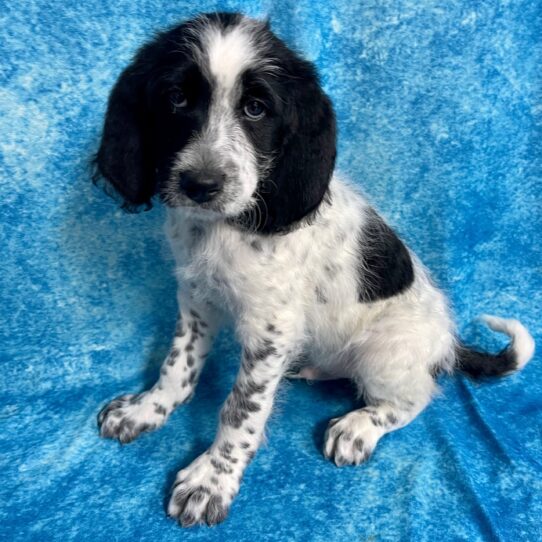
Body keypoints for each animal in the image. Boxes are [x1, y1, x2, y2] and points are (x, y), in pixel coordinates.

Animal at [93, 12, 536, 528]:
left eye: (257, 108)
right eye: (177, 99)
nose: (200, 185)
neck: (225, 226)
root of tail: (447, 344)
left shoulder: (270, 329)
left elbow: (241, 408)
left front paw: (211, 480)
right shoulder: (197, 300)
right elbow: (177, 364)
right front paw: (147, 410)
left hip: (385, 353)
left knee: (416, 396)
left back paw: (358, 427)